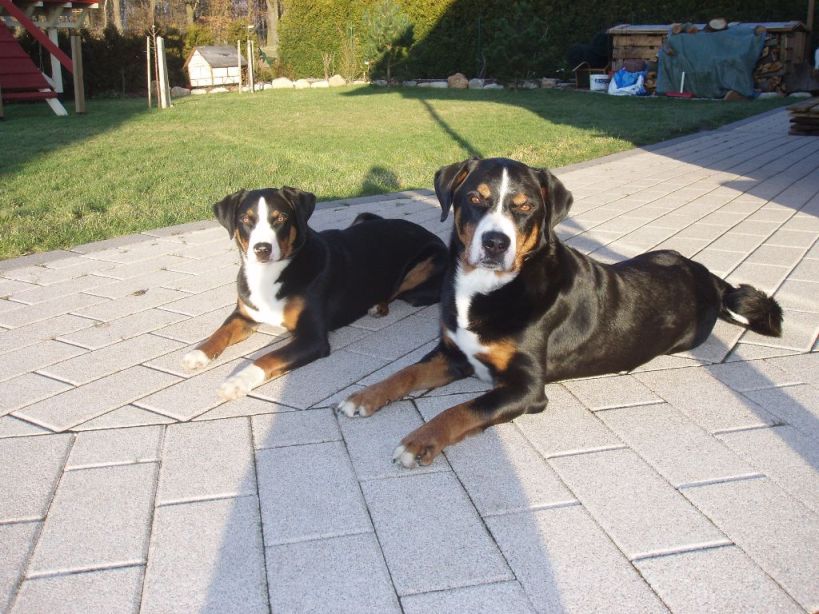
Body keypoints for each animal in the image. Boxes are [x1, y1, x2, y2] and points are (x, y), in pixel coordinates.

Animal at [182, 187, 448, 399]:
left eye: (280, 218)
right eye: (246, 219)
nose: (262, 249)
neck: (270, 275)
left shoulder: (312, 338)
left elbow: (266, 358)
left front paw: (236, 382)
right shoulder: (245, 314)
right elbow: (221, 331)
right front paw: (197, 354)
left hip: (423, 268)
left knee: (398, 290)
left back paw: (377, 305)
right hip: (363, 217)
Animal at [338, 158, 783, 468]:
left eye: (524, 207)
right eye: (475, 199)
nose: (496, 243)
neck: (487, 288)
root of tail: (702, 272)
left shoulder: (526, 387)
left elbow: (460, 409)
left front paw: (419, 442)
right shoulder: (453, 353)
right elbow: (405, 374)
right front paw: (363, 396)